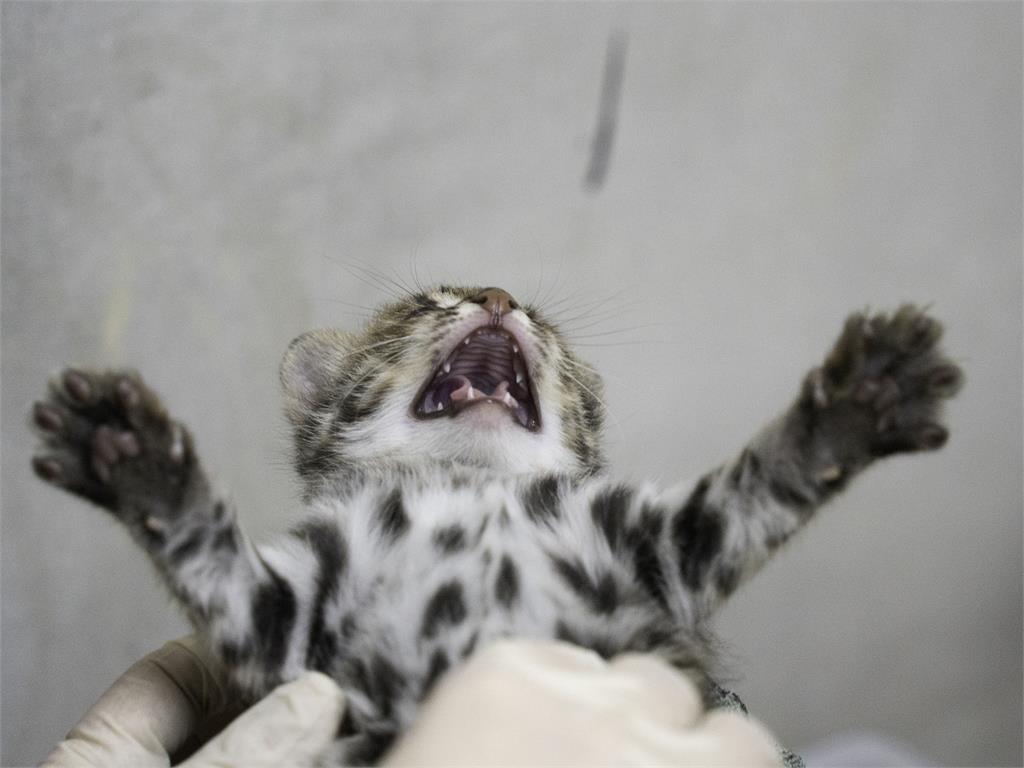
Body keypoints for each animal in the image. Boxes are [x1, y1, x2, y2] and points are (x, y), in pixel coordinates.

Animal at [29, 286, 958, 765]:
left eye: (541, 321)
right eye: (423, 302)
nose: (500, 296)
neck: (470, 488)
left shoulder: (657, 547)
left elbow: (763, 478)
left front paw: (859, 401)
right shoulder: (284, 612)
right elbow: (201, 540)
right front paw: (132, 454)